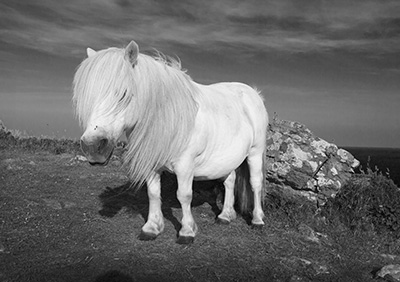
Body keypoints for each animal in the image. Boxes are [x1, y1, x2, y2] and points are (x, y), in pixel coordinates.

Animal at [74, 40, 270, 243]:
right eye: (87, 98)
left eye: (123, 94)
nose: (92, 147)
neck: (170, 117)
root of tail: (253, 93)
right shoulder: (151, 163)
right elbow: (153, 194)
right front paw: (151, 227)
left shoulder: (185, 166)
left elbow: (184, 196)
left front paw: (187, 231)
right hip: (227, 159)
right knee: (230, 181)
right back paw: (225, 216)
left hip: (255, 153)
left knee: (255, 184)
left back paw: (257, 220)